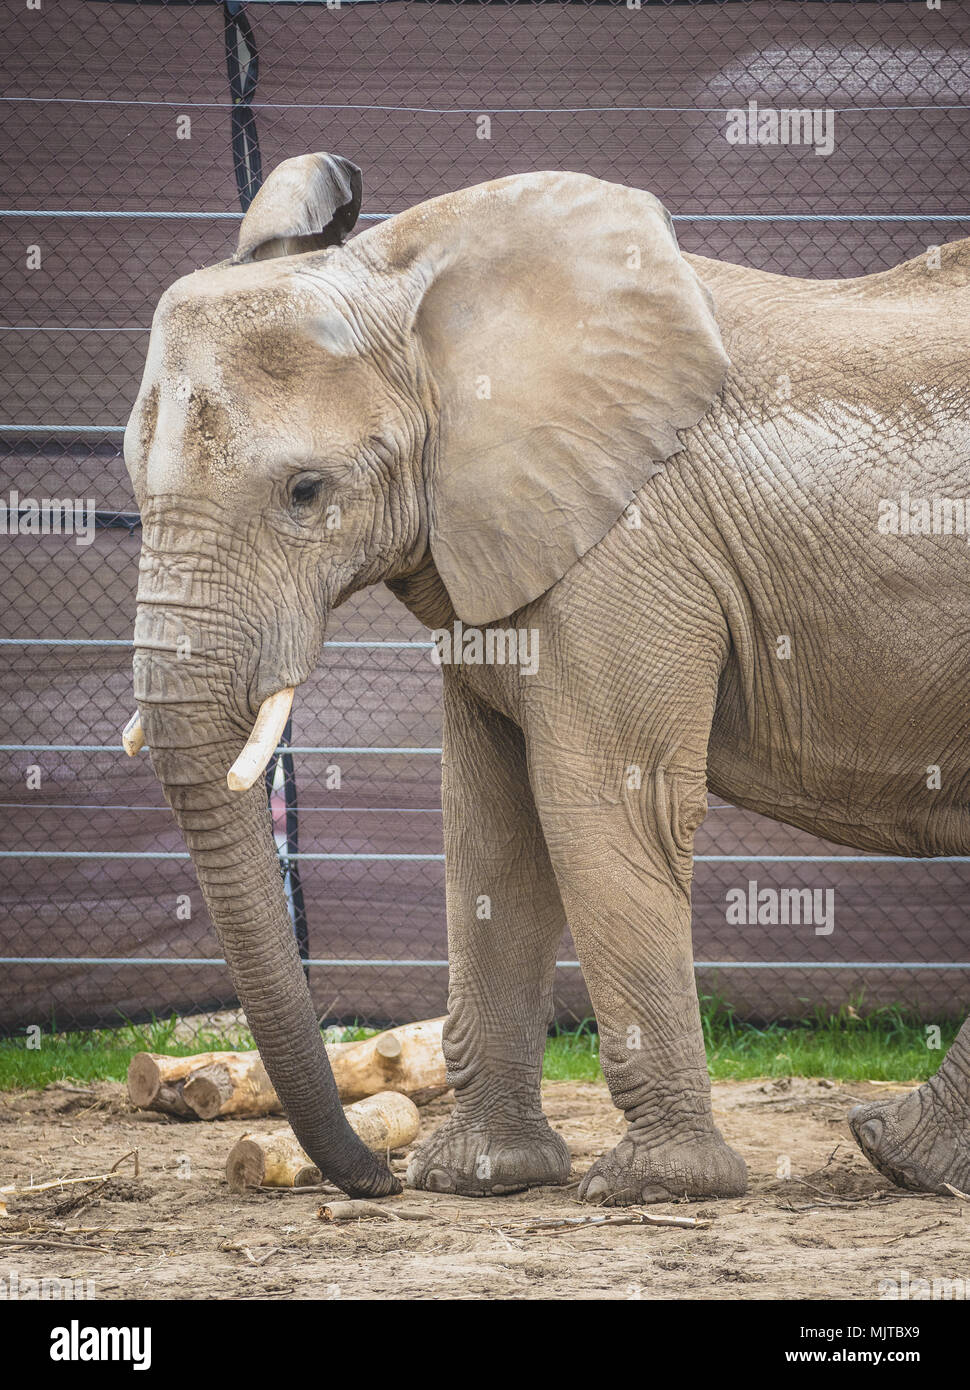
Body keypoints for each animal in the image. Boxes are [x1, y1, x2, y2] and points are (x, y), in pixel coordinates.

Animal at [122, 152, 967, 1206]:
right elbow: (493, 823)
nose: (377, 1181)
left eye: (305, 492)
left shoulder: (631, 545)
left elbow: (600, 799)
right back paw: (902, 1153)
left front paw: (658, 1187)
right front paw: (479, 1178)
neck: (408, 288)